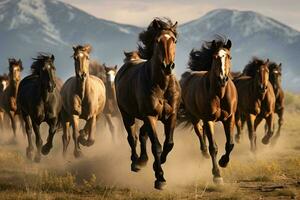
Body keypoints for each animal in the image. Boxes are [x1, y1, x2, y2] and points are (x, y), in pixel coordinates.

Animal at [115, 18, 180, 189]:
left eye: (174, 40)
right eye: (157, 41)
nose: (167, 66)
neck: (161, 85)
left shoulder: (171, 116)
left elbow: (169, 143)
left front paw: (158, 164)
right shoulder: (150, 116)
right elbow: (156, 146)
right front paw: (160, 178)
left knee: (142, 134)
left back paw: (143, 160)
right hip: (127, 115)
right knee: (132, 137)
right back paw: (136, 163)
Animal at [179, 36, 238, 184]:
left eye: (229, 56)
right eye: (214, 56)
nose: (223, 79)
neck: (220, 94)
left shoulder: (230, 118)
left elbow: (230, 144)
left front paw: (224, 162)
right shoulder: (209, 120)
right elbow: (214, 147)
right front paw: (217, 175)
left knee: (203, 132)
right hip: (194, 117)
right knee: (199, 132)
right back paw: (204, 152)